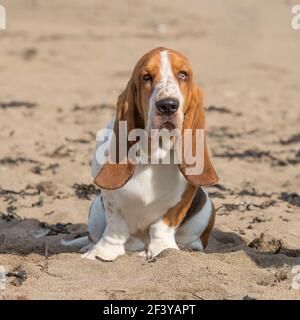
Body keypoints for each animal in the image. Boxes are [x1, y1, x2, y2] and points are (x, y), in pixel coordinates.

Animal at [62, 47, 218, 262]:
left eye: (183, 74)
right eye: (146, 77)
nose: (168, 105)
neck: (153, 152)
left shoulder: (182, 200)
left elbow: (162, 227)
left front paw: (165, 251)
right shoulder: (109, 199)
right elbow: (114, 226)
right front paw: (100, 253)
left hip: (206, 208)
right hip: (94, 209)